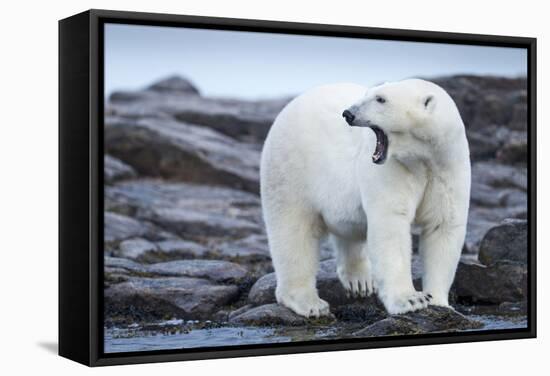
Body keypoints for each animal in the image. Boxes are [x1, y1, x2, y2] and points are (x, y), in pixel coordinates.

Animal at [260, 79, 472, 318]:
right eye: (369, 94)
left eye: (380, 99)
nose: (348, 113)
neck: (423, 157)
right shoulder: (394, 169)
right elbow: (391, 225)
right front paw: (410, 300)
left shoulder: (448, 168)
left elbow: (442, 225)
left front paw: (438, 301)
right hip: (290, 168)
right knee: (293, 232)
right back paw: (309, 302)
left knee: (348, 231)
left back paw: (359, 280)